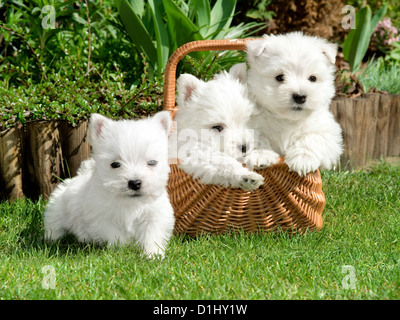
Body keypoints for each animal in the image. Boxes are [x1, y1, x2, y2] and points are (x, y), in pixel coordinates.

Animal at [44, 112, 175, 258]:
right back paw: (52, 238)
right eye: (115, 164)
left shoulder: (155, 215)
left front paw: (152, 254)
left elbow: (152, 235)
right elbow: (115, 236)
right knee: (54, 225)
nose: (134, 183)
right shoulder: (102, 219)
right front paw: (121, 250)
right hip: (56, 210)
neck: (130, 203)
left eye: (152, 162)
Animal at [233, 31, 342, 176]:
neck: (288, 120)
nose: (300, 97)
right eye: (279, 77)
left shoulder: (329, 134)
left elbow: (312, 138)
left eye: (312, 78)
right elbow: (260, 138)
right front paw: (261, 155)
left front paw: (302, 159)